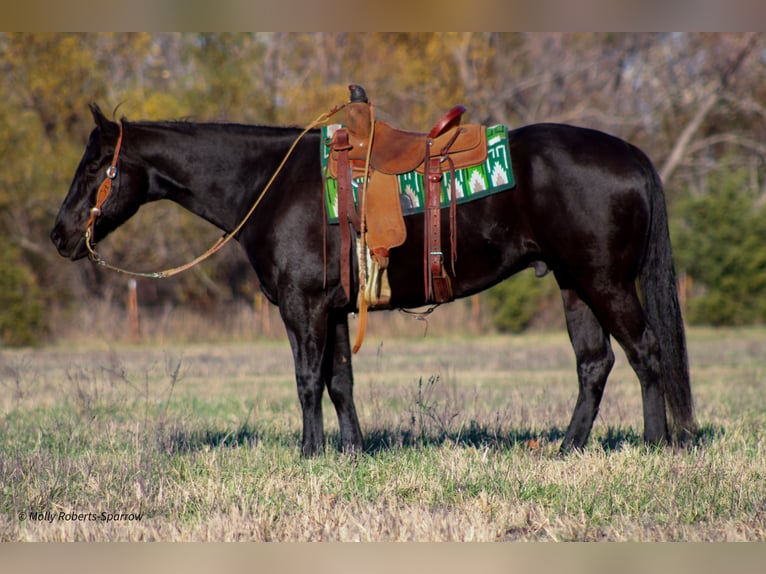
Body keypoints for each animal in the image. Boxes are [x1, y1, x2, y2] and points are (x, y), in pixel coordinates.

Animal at [49, 102, 696, 454]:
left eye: (94, 166)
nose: (59, 235)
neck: (273, 185)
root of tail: (632, 156)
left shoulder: (304, 307)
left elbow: (308, 380)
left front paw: (309, 454)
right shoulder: (335, 310)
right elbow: (341, 382)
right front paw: (352, 452)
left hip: (605, 282)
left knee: (646, 352)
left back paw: (654, 443)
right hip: (574, 284)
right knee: (595, 364)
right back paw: (565, 449)